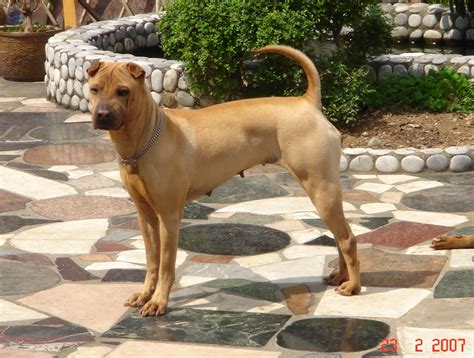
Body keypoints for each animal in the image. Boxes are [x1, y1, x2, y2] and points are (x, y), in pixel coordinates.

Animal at [86, 44, 360, 316]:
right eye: (94, 89)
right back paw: (340, 277)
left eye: (123, 91)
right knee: (339, 236)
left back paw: (353, 286)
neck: (145, 137)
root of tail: (307, 102)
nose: (102, 115)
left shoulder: (169, 216)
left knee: (347, 238)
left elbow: (166, 264)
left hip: (321, 189)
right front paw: (145, 295)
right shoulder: (146, 216)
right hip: (324, 194)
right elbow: (152, 261)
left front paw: (158, 301)